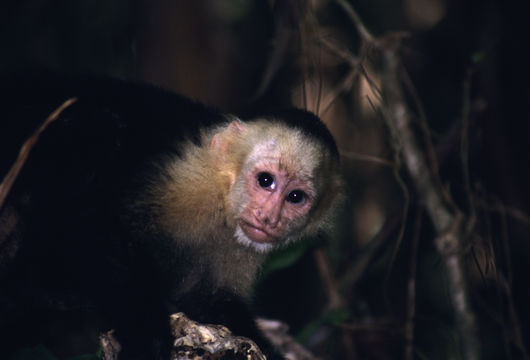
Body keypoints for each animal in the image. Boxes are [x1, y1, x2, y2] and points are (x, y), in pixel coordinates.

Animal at [0, 74, 342, 360]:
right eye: (265, 180)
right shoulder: (186, 181)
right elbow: (89, 226)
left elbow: (209, 299)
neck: (222, 198)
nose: (269, 217)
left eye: (295, 197)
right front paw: (146, 336)